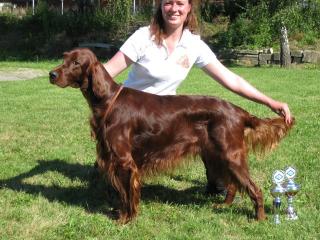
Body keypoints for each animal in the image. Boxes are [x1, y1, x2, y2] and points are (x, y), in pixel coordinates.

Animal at [49, 47, 292, 224]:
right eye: (64, 58)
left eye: (76, 63)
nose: (51, 74)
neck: (107, 100)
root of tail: (238, 110)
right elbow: (123, 194)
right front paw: (122, 215)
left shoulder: (125, 161)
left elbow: (127, 195)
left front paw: (126, 219)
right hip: (217, 154)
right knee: (233, 183)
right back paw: (225, 205)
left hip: (230, 154)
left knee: (254, 188)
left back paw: (259, 218)